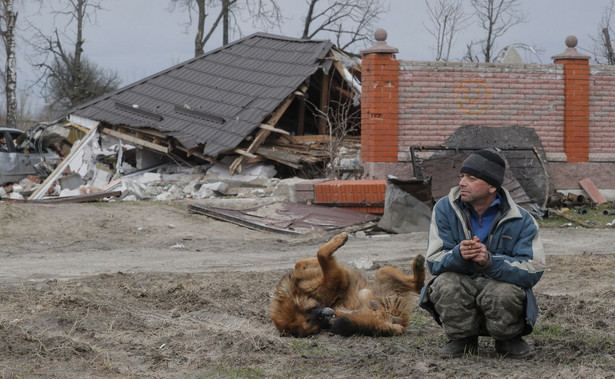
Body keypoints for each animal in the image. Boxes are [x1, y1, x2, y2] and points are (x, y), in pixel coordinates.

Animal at [272, 232, 426, 338]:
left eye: (311, 314)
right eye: (315, 323)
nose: (329, 316)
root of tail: (390, 320)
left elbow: (304, 261)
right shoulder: (336, 278)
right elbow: (321, 254)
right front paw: (340, 238)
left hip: (384, 272)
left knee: (417, 285)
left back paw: (418, 265)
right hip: (383, 281)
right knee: (418, 287)